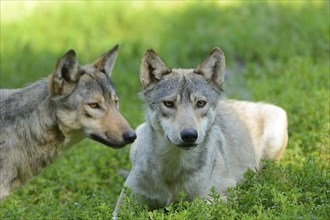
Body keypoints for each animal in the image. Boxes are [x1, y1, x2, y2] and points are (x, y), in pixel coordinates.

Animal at [113, 46, 286, 217]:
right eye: (169, 104)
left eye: (201, 103)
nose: (189, 135)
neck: (175, 167)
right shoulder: (123, 205)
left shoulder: (223, 195)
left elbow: (196, 207)